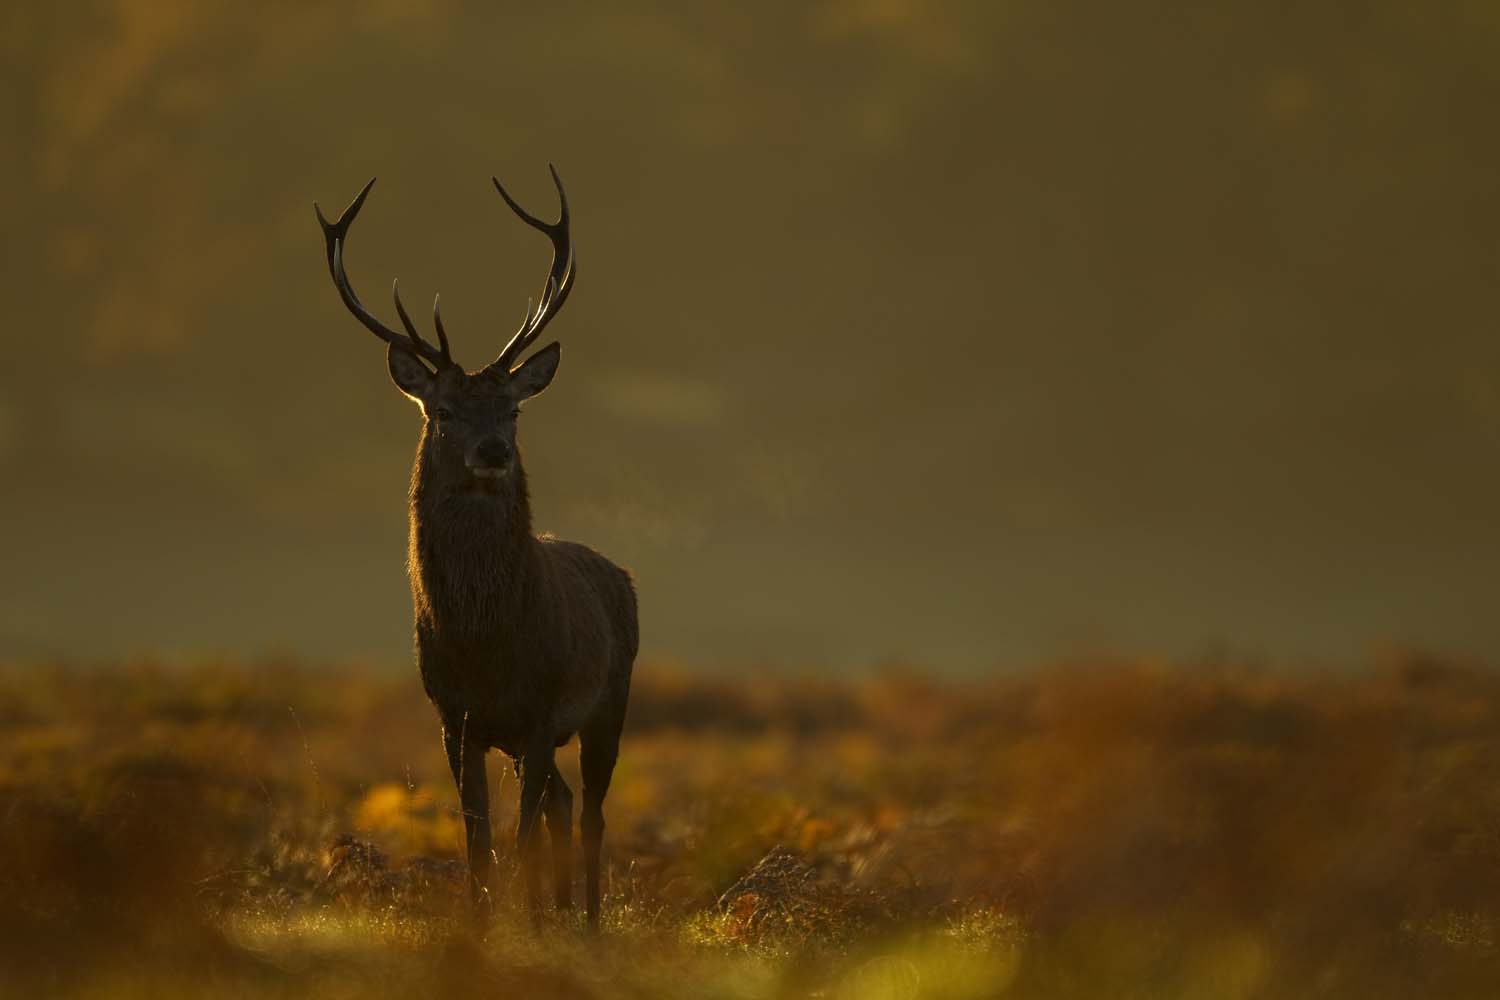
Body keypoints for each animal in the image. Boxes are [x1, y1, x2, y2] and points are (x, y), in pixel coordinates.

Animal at [313, 167, 642, 935]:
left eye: (513, 409)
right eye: (444, 410)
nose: (493, 451)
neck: (484, 643)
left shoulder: (541, 709)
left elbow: (516, 836)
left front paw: (522, 925)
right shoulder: (453, 716)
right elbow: (478, 840)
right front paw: (486, 924)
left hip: (609, 702)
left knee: (590, 814)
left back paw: (587, 926)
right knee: (561, 804)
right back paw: (556, 917)